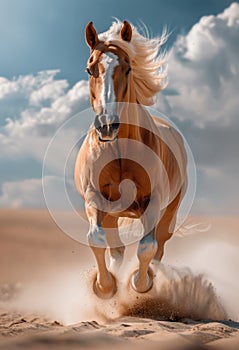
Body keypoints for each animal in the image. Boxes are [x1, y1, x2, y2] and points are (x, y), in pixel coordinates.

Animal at [74, 19, 187, 298]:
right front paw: (105, 286)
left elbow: (147, 247)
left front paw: (140, 284)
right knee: (117, 250)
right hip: (112, 214)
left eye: (128, 68)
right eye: (89, 69)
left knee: (159, 247)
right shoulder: (95, 198)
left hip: (170, 211)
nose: (107, 126)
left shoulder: (153, 201)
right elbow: (96, 240)